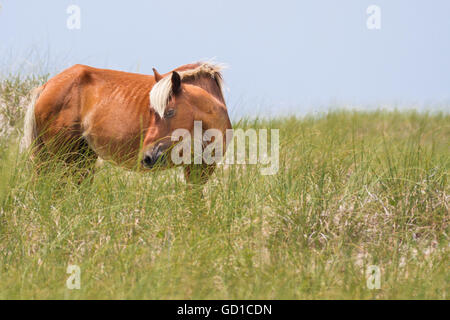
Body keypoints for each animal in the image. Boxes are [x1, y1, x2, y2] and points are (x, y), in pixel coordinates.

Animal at [22, 61, 232, 184]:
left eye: (170, 112)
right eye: (151, 112)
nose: (147, 157)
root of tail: (47, 86)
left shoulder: (201, 168)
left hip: (82, 158)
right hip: (59, 158)